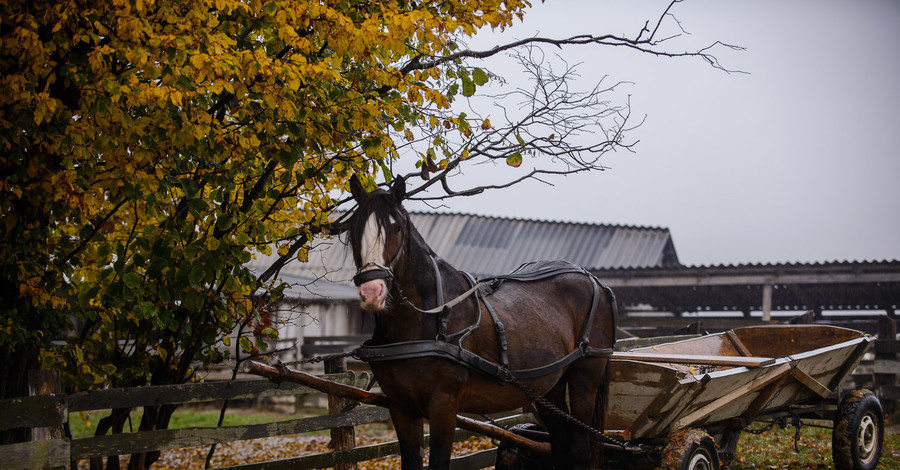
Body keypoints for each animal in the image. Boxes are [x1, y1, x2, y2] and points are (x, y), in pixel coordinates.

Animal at [346, 176, 620, 470]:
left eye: (396, 227)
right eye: (354, 228)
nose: (372, 291)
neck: (430, 319)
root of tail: (595, 281)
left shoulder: (443, 406)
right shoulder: (400, 407)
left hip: (585, 376)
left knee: (580, 447)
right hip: (549, 387)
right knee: (561, 441)